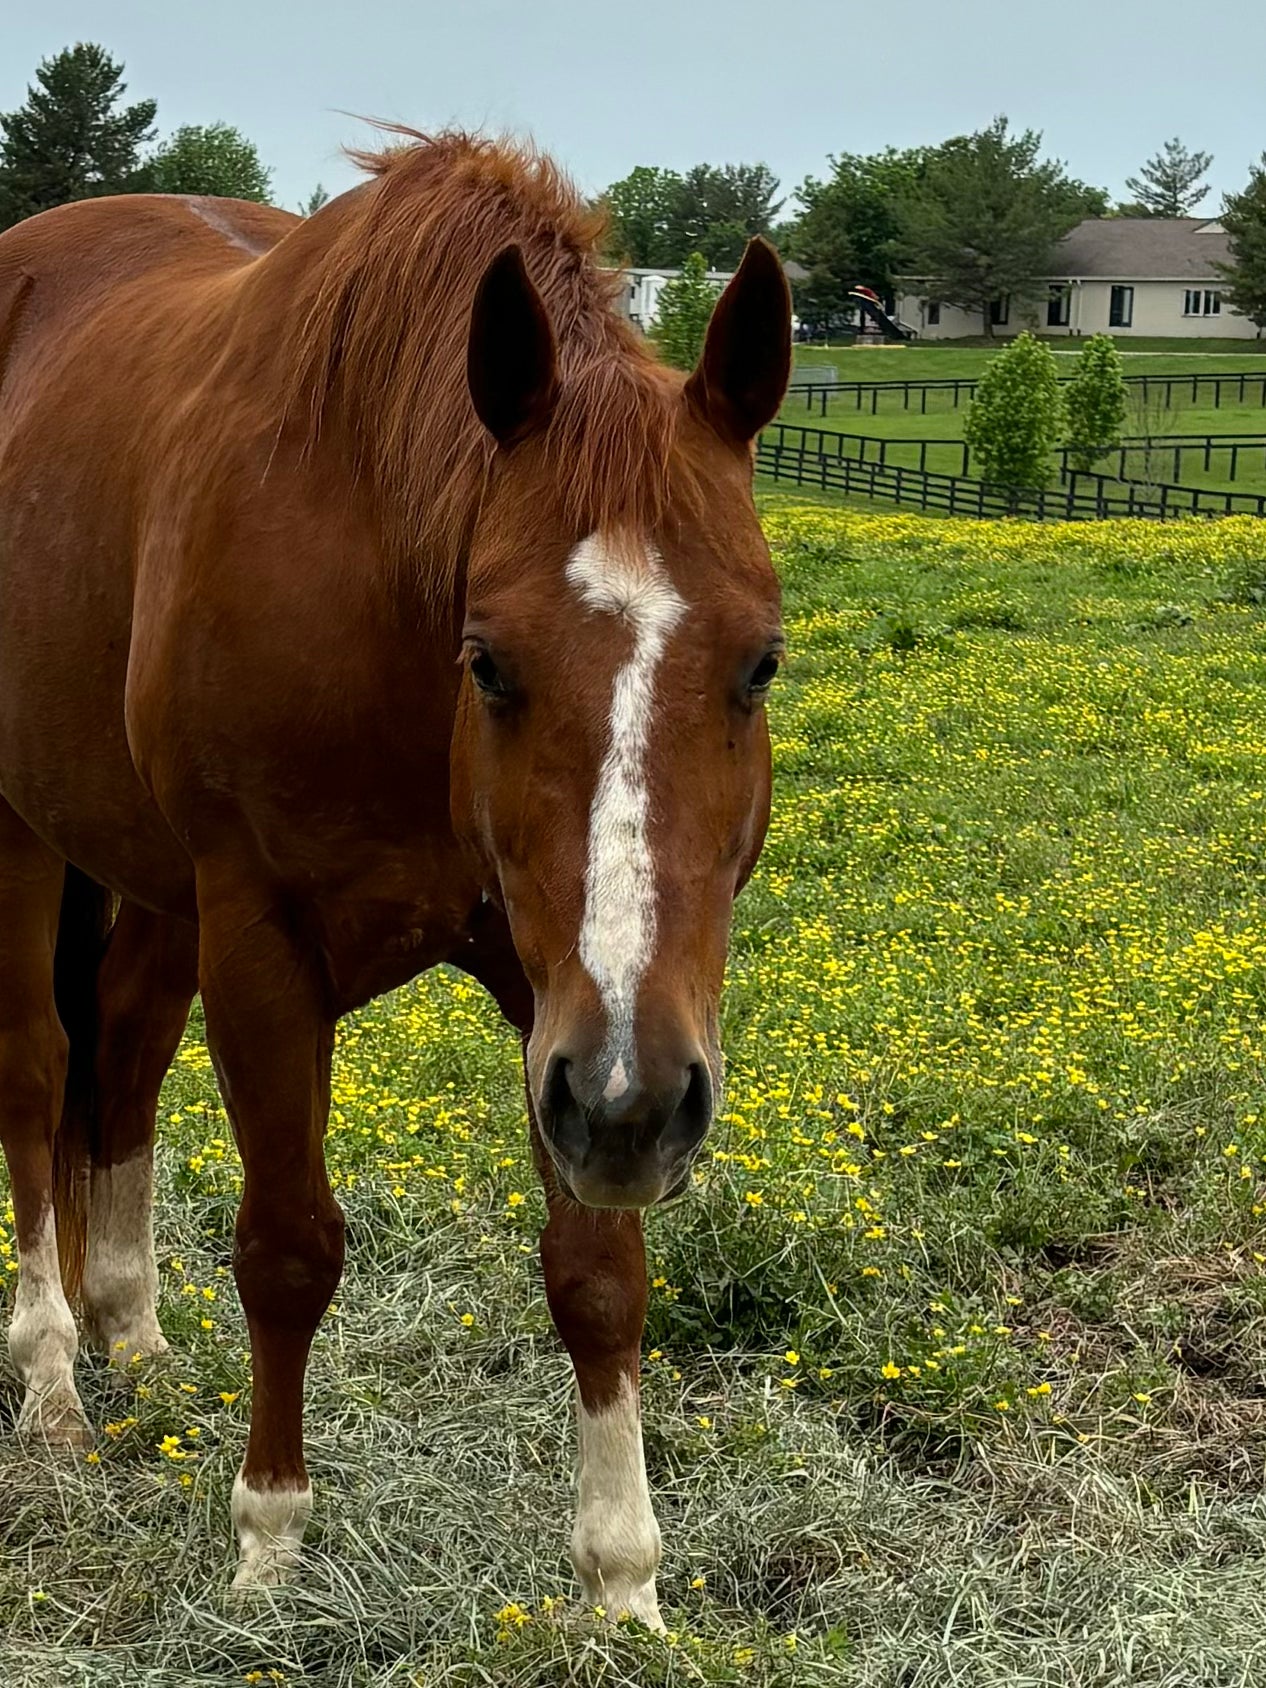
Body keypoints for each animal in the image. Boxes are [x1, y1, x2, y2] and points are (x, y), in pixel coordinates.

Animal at [0, 128, 789, 1606]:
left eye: (760, 661)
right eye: (490, 660)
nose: (639, 1104)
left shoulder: (556, 994)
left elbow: (597, 1268)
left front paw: (622, 1579)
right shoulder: (262, 937)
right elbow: (288, 1245)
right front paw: (268, 1537)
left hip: (153, 885)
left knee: (121, 1055)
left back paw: (135, 1335)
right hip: (28, 838)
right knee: (37, 1071)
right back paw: (56, 1376)